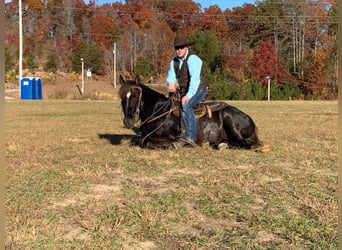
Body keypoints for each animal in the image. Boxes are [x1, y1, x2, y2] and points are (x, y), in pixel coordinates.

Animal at [119, 75, 268, 150]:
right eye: (122, 96)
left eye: (136, 95)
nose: (128, 121)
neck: (158, 112)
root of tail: (249, 119)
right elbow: (136, 140)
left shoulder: (169, 137)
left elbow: (146, 142)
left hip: (229, 118)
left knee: (245, 144)